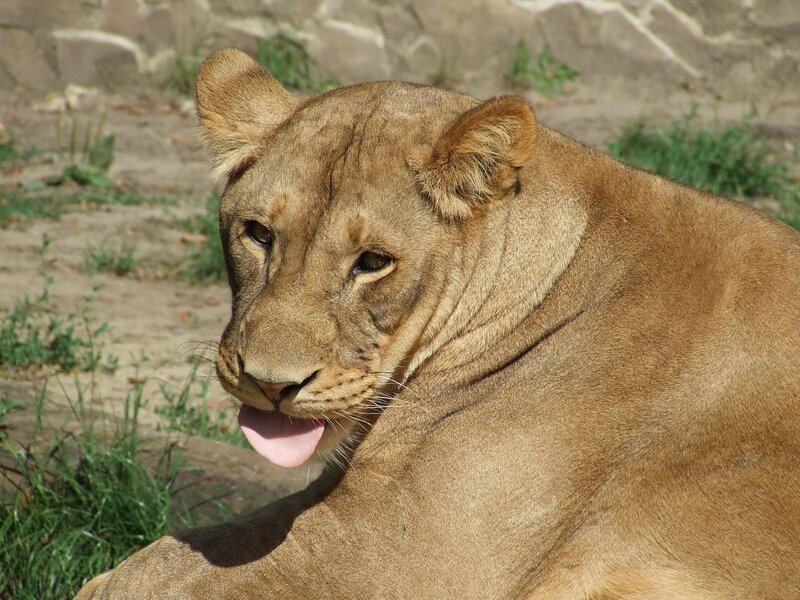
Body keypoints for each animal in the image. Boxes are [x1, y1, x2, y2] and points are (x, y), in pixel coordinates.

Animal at [76, 48, 800, 599]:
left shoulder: (405, 552)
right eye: (257, 233)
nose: (270, 384)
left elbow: (161, 570)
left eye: (373, 262)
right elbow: (179, 552)